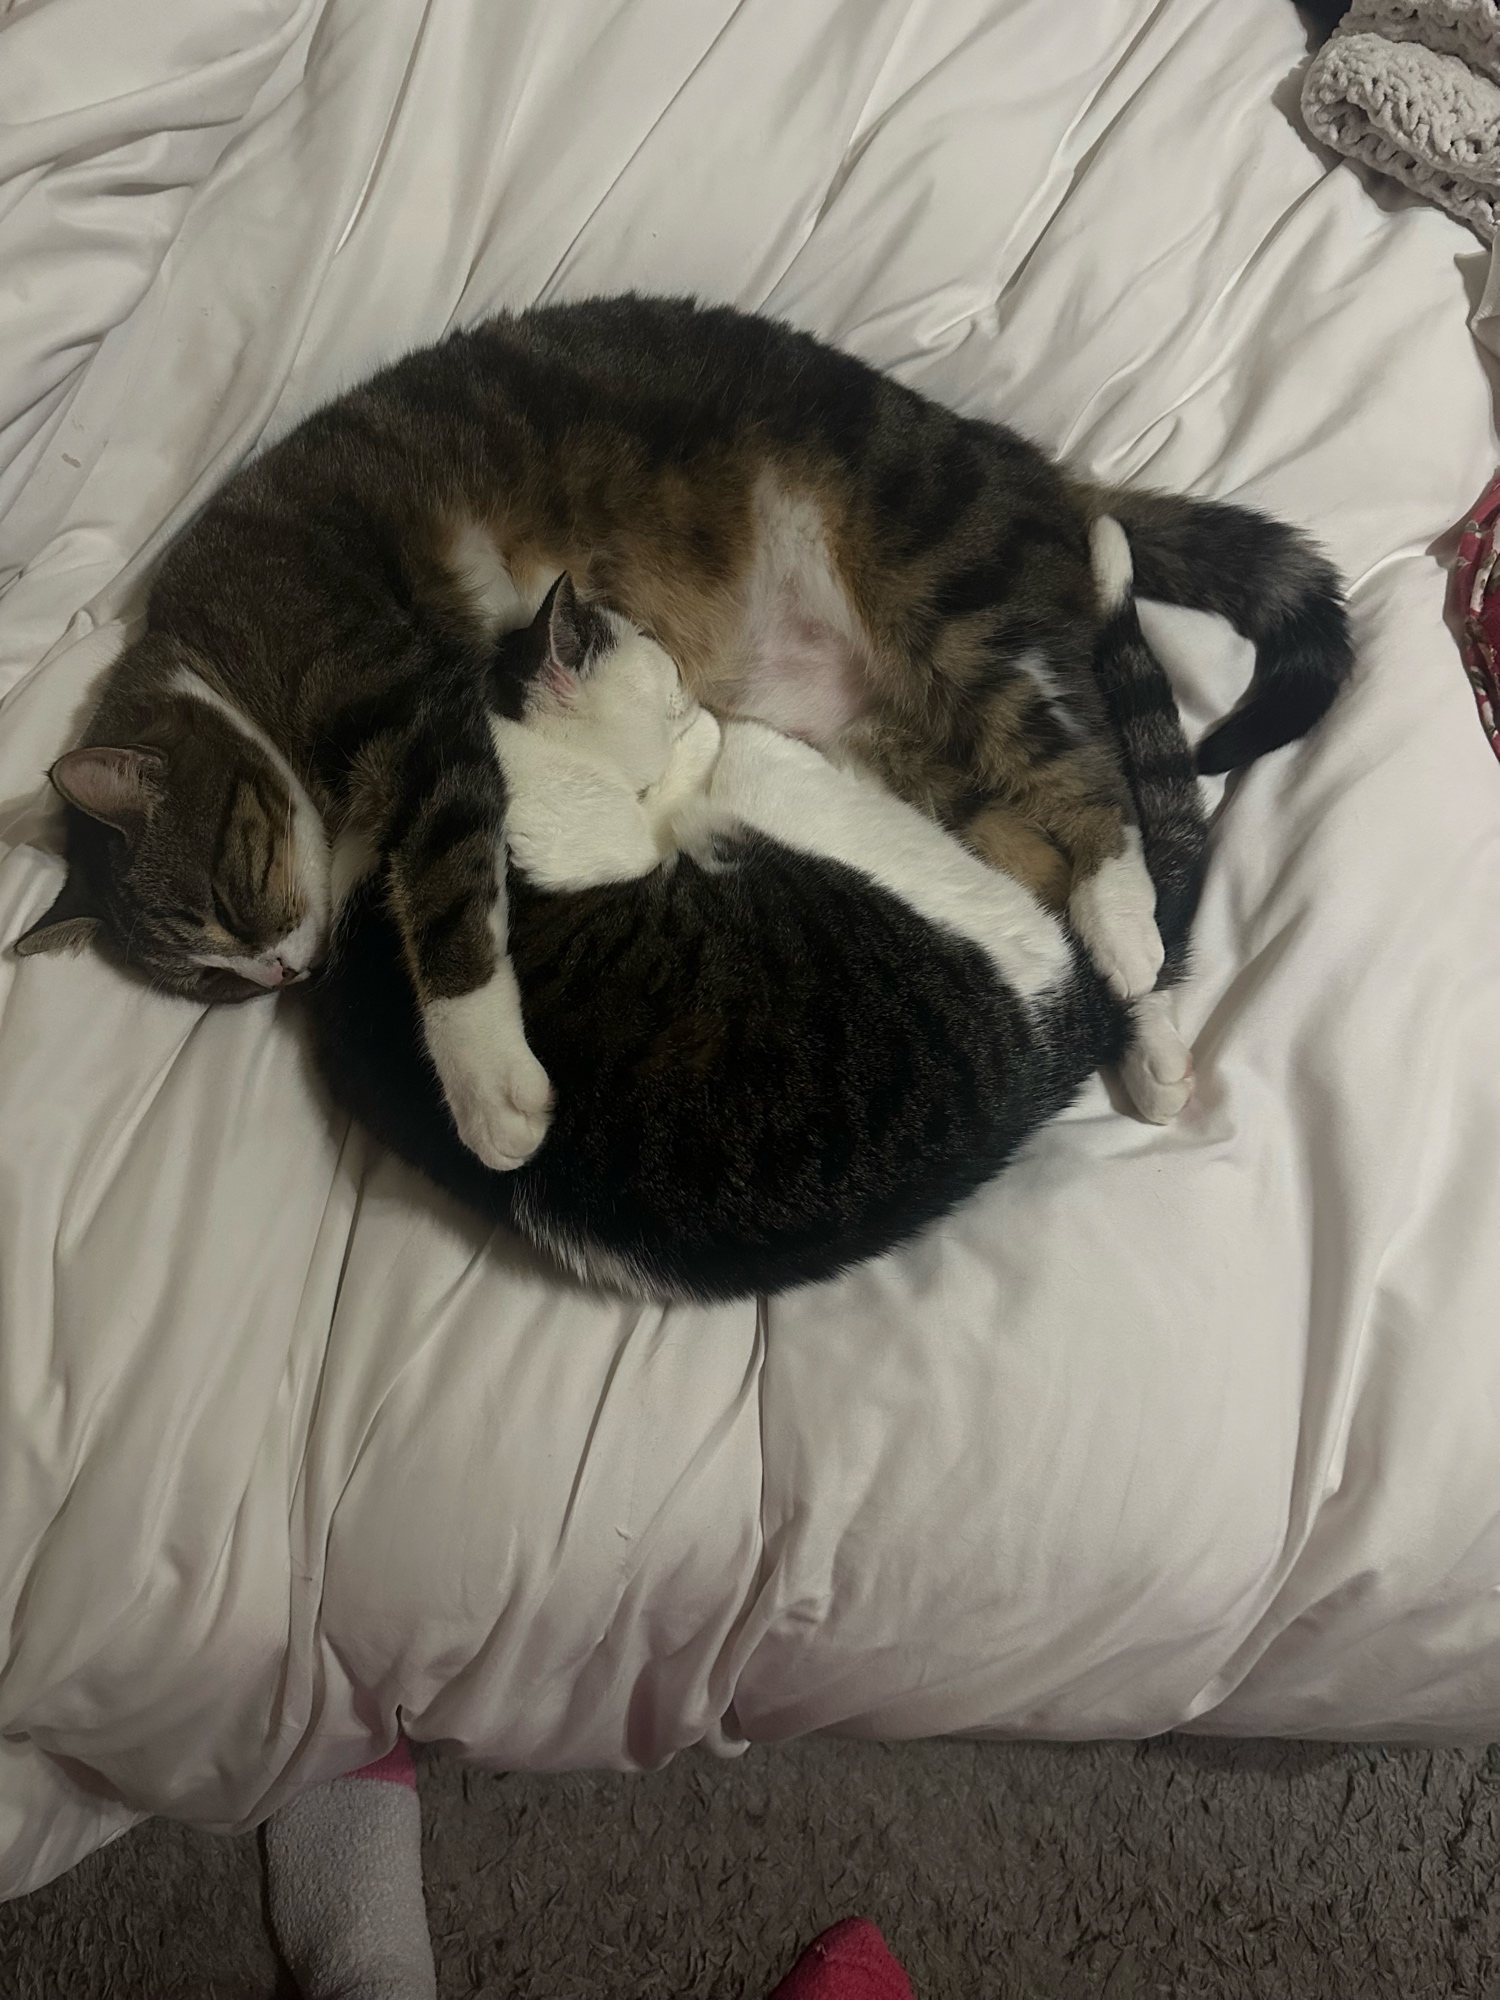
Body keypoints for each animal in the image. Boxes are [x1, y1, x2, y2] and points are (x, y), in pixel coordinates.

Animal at [12, 295, 1351, 1182]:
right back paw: (1143, 1030)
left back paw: (1129, 943)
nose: (285, 973)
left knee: (1094, 791)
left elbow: (453, 905)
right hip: (918, 759)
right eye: (211, 982)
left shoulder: (421, 708)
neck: (216, 652)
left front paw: (489, 1092)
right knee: (1039, 862)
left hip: (958, 606)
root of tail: (1032, 469)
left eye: (230, 897)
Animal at [306, 516, 1204, 1302]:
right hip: (783, 779)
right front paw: (690, 738)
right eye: (665, 682)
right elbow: (678, 774)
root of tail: (1050, 1042)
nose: (690, 688)